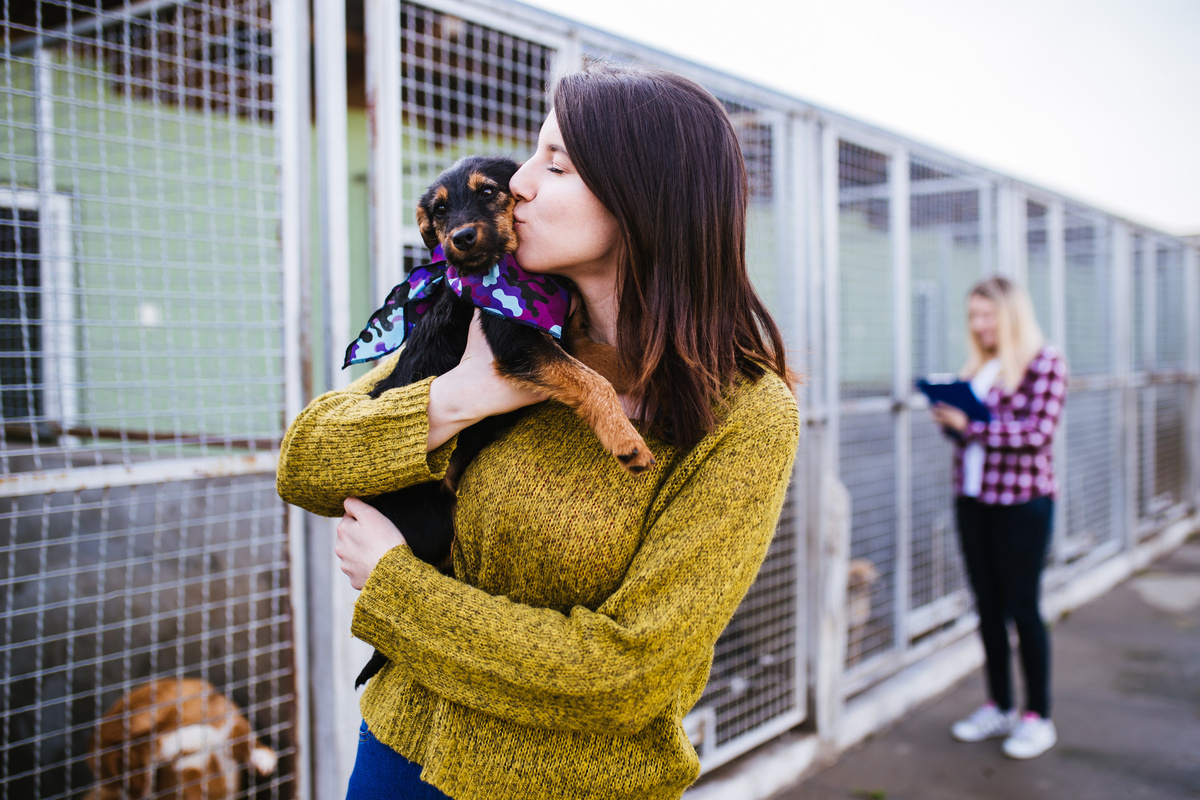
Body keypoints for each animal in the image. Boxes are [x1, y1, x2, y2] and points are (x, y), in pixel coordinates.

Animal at [343, 155, 652, 690]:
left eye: (488, 192)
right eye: (439, 211)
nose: (460, 238)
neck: (509, 272)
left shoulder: (561, 334)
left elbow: (604, 360)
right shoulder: (518, 342)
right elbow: (592, 380)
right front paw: (626, 441)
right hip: (434, 521)